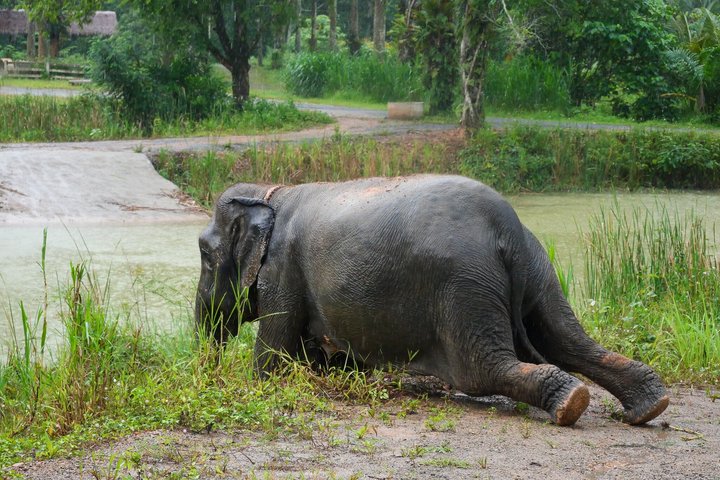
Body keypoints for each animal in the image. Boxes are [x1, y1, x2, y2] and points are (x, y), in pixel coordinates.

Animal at [195, 174, 669, 426]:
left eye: (203, 252)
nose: (209, 372)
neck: (271, 192)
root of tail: (507, 227)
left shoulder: (282, 270)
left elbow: (274, 355)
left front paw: (257, 383)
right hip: (539, 270)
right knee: (569, 340)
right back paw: (647, 406)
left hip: (464, 288)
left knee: (485, 369)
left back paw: (570, 404)